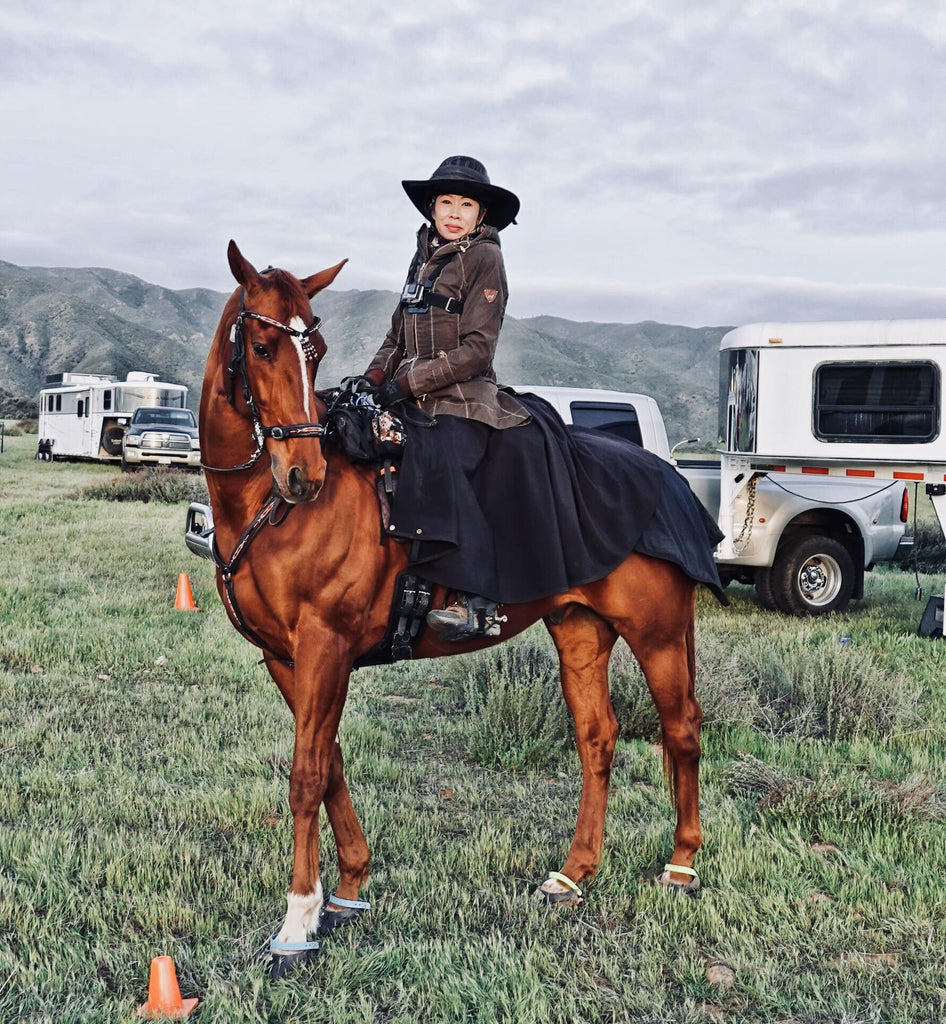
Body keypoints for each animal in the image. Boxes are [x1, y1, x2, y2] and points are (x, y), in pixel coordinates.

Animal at [199, 243, 700, 970]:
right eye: (263, 346)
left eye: (314, 349)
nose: (304, 476)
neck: (270, 512)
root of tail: (667, 474)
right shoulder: (286, 658)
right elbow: (331, 764)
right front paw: (345, 890)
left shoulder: (325, 645)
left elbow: (306, 773)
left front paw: (297, 922)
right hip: (581, 627)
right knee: (597, 737)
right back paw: (573, 873)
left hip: (656, 631)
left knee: (681, 729)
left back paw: (682, 866)